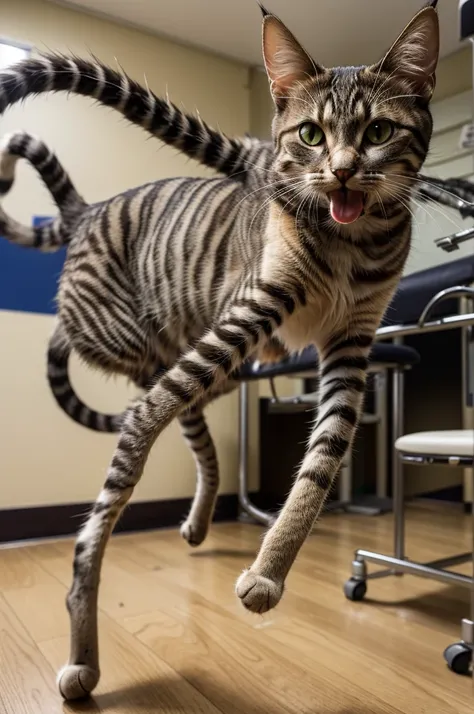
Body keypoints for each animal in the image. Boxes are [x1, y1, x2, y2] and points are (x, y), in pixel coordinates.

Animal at [0, 1, 440, 700]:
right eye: (311, 135)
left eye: (378, 130)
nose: (342, 168)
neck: (355, 240)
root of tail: (86, 210)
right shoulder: (254, 306)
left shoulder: (350, 352)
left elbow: (319, 468)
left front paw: (270, 572)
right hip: (172, 349)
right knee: (130, 444)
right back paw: (83, 648)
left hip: (209, 365)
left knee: (196, 437)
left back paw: (201, 519)